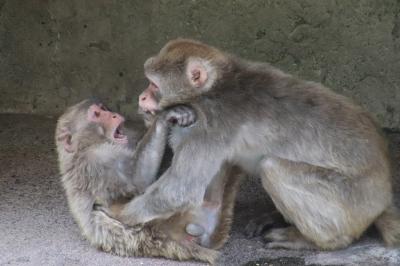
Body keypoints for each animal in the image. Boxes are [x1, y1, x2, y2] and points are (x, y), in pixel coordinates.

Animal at [55, 98, 242, 262]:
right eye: (96, 114)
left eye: (104, 109)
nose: (114, 115)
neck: (84, 145)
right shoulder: (98, 159)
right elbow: (138, 179)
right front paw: (164, 117)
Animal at [119, 38, 400, 250]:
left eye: (153, 85)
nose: (142, 96)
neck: (214, 88)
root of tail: (384, 193)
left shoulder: (208, 127)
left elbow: (179, 189)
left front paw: (117, 216)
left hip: (352, 201)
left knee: (272, 167)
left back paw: (318, 241)